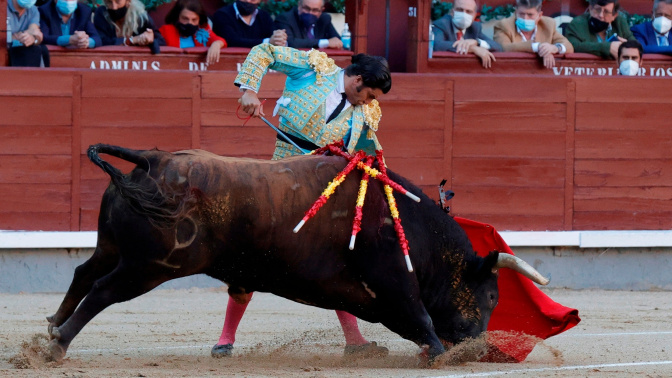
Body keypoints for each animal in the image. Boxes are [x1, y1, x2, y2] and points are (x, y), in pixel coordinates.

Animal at [47, 145, 552, 364]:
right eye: (492, 296)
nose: (478, 347)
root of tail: (153, 160)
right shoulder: (394, 280)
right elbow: (420, 316)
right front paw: (438, 353)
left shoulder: (363, 291)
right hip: (150, 266)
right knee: (102, 290)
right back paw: (57, 346)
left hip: (114, 247)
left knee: (82, 272)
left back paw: (49, 329)